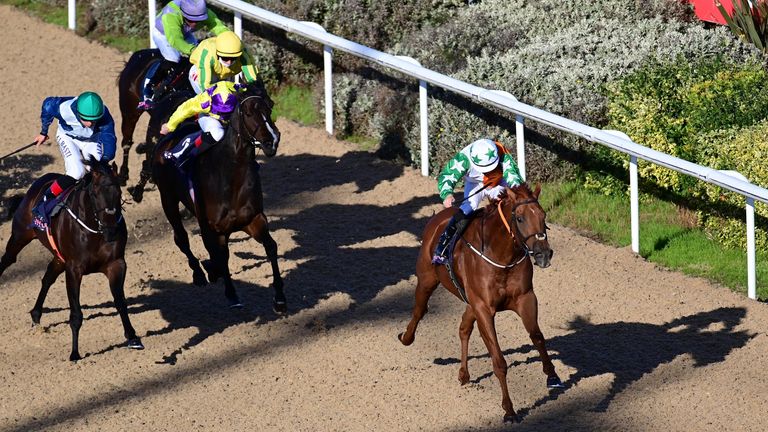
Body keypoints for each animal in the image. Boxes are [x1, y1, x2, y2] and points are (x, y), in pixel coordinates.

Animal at [0, 159, 143, 362]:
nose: (110, 231)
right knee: (8, 260)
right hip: (20, 237)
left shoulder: (116, 264)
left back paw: (36, 314)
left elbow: (121, 303)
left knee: (47, 278)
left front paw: (132, 337)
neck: (95, 229)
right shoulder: (74, 269)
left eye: (118, 191)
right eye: (95, 193)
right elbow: (76, 314)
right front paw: (75, 352)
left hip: (59, 258)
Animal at [150, 81, 284, 310]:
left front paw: (280, 297)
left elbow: (270, 247)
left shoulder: (253, 219)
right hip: (167, 198)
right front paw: (231, 294)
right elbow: (220, 257)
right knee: (181, 238)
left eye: (270, 106)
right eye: (249, 113)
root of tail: (165, 142)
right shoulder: (214, 227)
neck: (231, 177)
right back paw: (198, 273)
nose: (272, 142)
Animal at [400, 184, 560, 424]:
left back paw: (464, 373)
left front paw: (552, 376)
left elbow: (537, 337)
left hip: (470, 301)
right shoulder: (484, 308)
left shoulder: (525, 298)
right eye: (520, 218)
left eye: (544, 216)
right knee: (420, 310)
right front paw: (509, 409)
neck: (502, 257)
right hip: (427, 280)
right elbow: (499, 360)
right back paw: (407, 338)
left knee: (464, 328)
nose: (543, 253)